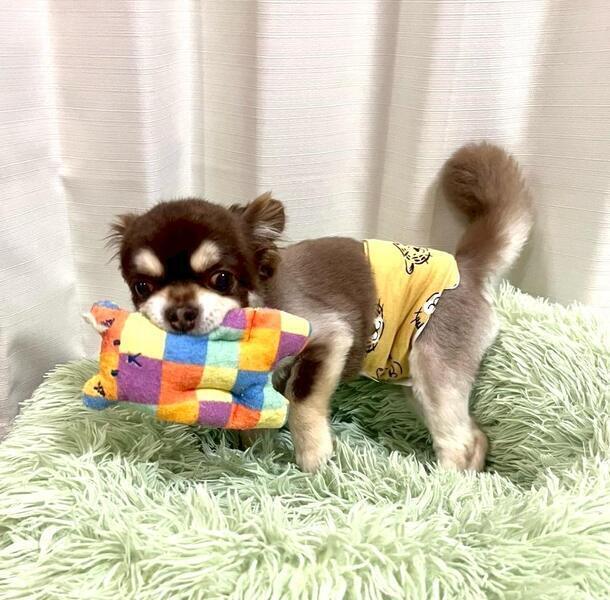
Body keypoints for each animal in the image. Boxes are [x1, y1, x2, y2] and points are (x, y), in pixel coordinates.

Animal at [110, 142, 533, 473]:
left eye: (223, 279)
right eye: (142, 287)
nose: (180, 312)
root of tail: (466, 267)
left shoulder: (330, 338)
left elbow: (302, 398)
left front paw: (313, 455)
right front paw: (252, 453)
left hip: (435, 362)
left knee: (457, 439)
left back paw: (442, 486)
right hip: (418, 383)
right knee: (474, 434)